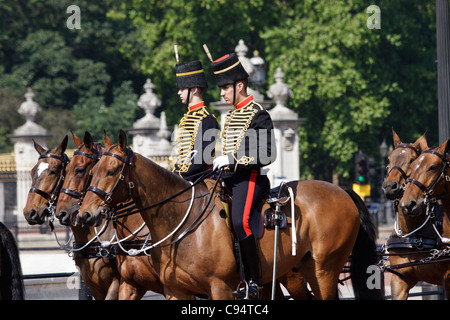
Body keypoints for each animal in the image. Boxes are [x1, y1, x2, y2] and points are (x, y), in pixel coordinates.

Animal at [77, 130, 384, 300]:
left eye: (111, 171)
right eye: (91, 172)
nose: (84, 215)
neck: (180, 222)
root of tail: (341, 190)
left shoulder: (221, 289)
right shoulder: (174, 291)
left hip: (324, 270)